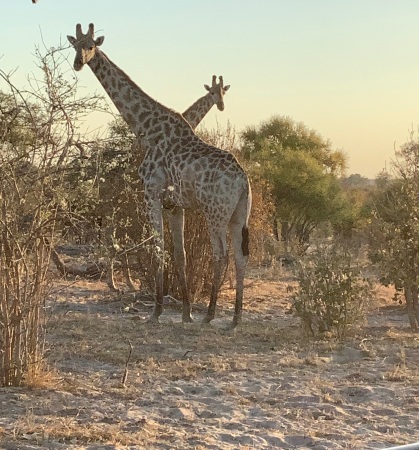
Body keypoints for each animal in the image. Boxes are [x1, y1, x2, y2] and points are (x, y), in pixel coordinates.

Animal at [106, 74, 231, 292]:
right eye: (213, 92)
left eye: (224, 92)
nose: (221, 105)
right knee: (115, 230)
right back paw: (119, 282)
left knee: (115, 230)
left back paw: (120, 281)